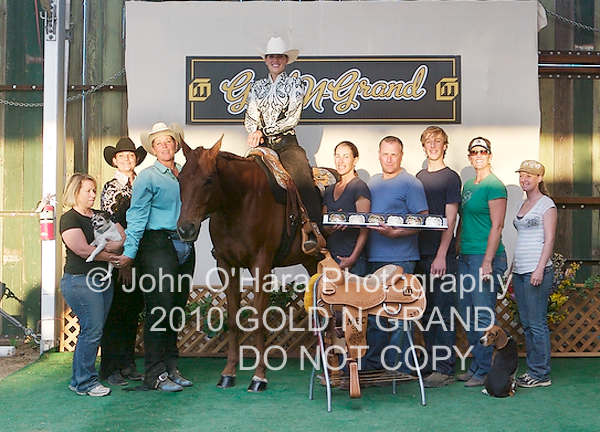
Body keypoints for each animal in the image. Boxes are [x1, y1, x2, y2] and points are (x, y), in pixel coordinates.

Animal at [177, 136, 320, 392]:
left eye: (209, 180)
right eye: (180, 178)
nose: (186, 229)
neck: (240, 203)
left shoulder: (261, 266)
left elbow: (260, 321)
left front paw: (259, 377)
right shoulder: (226, 265)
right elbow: (233, 319)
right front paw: (228, 373)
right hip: (310, 261)